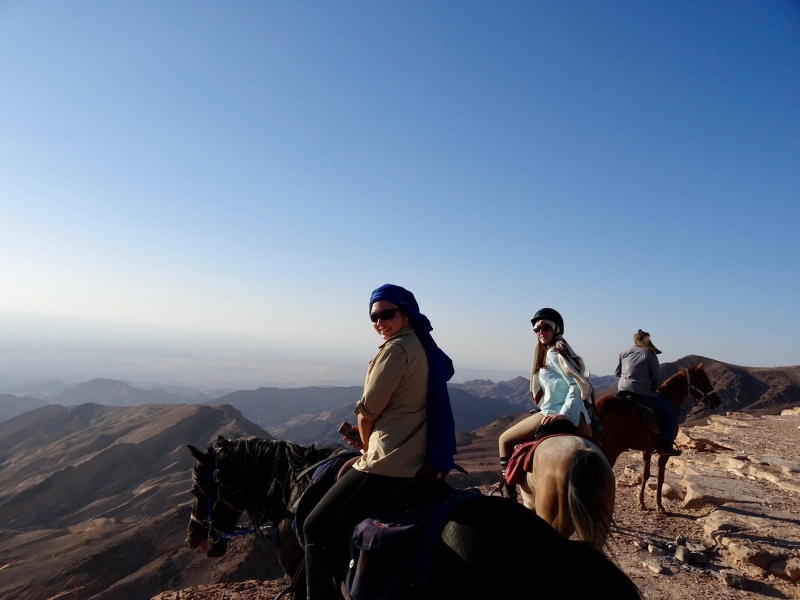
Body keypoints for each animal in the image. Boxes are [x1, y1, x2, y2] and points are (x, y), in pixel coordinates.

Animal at [592, 360, 720, 516]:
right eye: (702, 381)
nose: (717, 401)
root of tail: (601, 406)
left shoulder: (647, 450)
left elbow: (645, 474)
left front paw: (641, 503)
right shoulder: (664, 452)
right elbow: (660, 476)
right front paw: (659, 505)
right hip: (611, 450)